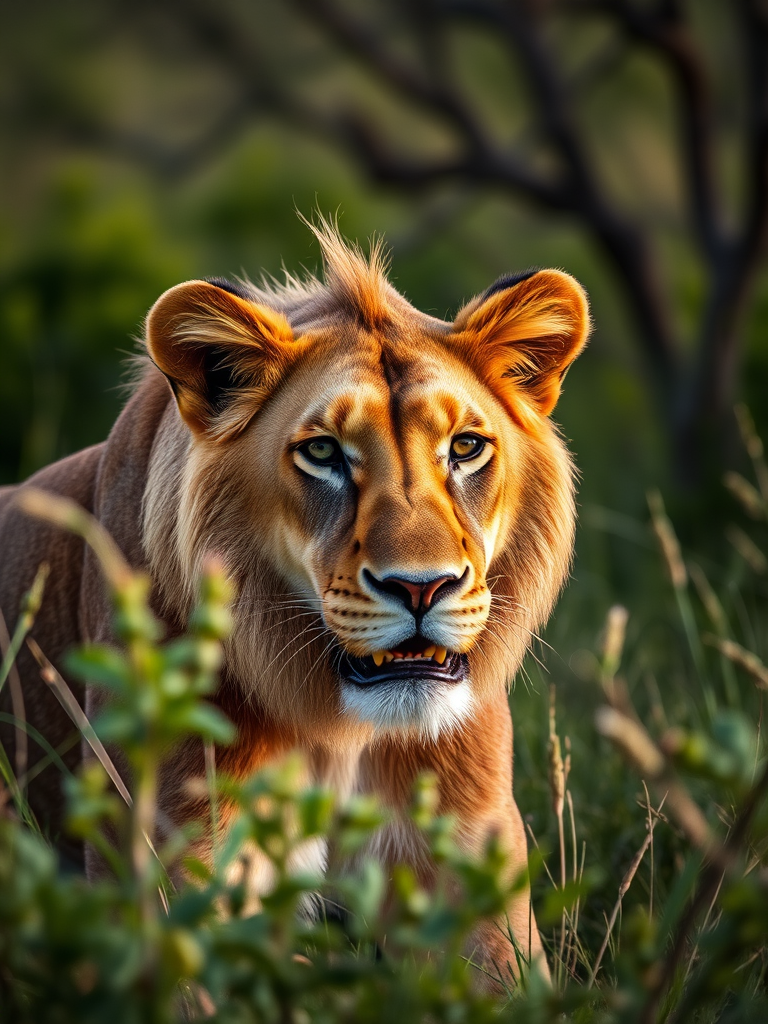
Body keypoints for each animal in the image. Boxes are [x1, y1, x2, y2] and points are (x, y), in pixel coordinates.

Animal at [0, 218, 589, 984]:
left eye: (465, 448)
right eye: (323, 453)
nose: (421, 586)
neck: (342, 730)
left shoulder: (471, 865)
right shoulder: (180, 865)